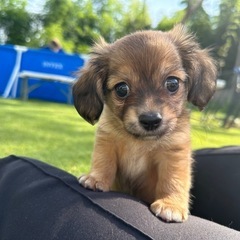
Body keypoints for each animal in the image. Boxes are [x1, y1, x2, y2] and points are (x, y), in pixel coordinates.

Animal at [72, 25, 217, 222]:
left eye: (172, 83)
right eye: (122, 89)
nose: (150, 120)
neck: (140, 141)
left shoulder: (174, 153)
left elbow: (173, 179)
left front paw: (171, 204)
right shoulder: (107, 140)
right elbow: (104, 161)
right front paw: (96, 178)